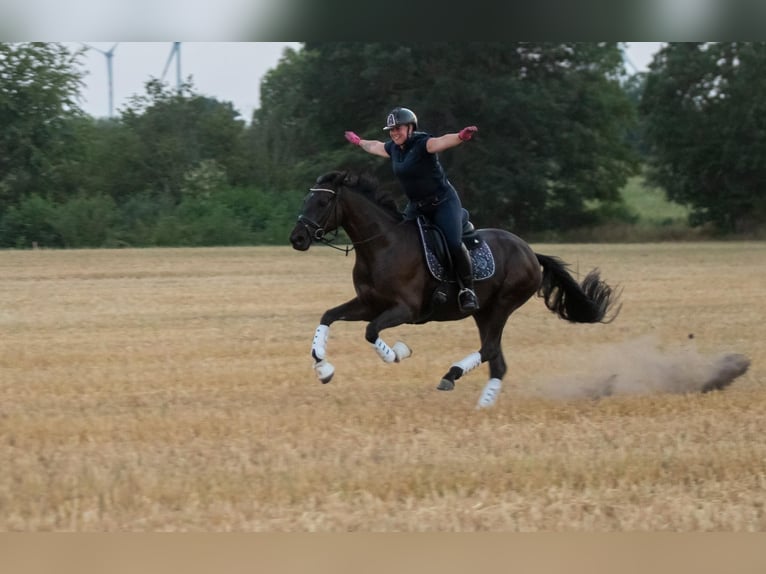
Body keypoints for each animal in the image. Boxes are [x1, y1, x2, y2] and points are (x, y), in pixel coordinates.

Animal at [292, 171, 620, 410]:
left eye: (322, 203)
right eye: (307, 199)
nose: (297, 238)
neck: (382, 245)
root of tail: (530, 251)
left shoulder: (404, 309)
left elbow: (371, 331)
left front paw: (397, 353)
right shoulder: (368, 303)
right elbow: (328, 316)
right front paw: (323, 367)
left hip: (503, 304)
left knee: (490, 350)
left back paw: (451, 375)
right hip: (483, 312)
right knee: (497, 361)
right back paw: (483, 404)